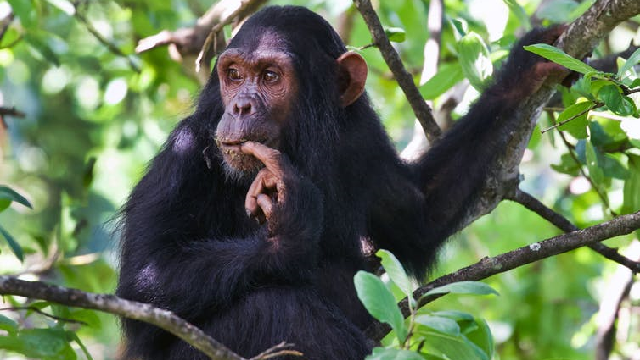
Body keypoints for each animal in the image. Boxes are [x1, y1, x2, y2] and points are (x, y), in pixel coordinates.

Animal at [115, 3, 564, 360]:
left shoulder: (360, 141)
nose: (240, 105)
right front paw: (289, 228)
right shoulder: (185, 154)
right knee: (275, 308)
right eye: (234, 74)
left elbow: (421, 218)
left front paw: (529, 64)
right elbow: (146, 276)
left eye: (271, 76)